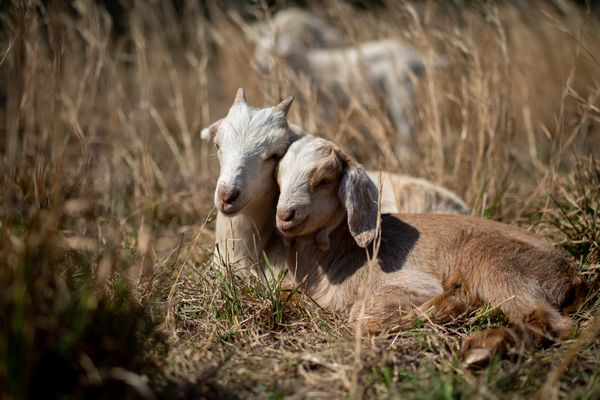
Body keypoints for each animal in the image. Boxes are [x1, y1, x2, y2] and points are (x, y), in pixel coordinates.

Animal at [274, 135, 586, 364]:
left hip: (493, 262)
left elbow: (360, 318)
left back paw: (479, 342)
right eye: (279, 178)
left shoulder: (407, 283)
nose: (284, 215)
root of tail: (571, 275)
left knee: (552, 322)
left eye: (324, 180)